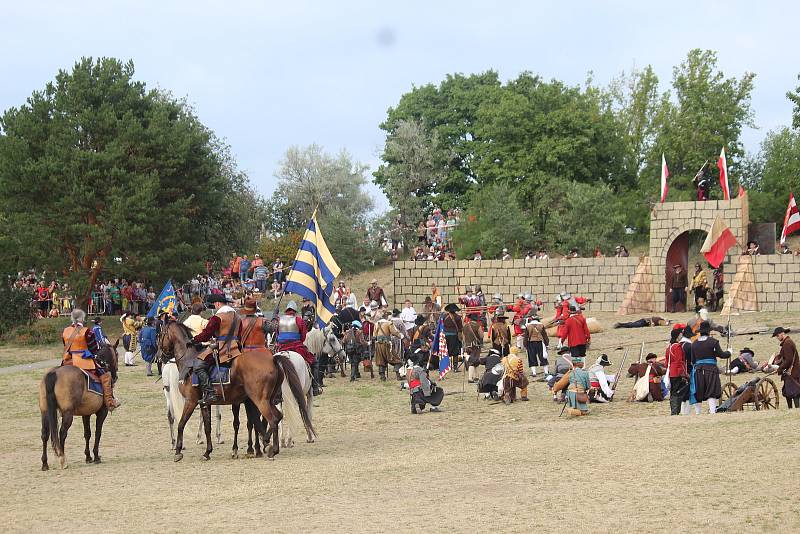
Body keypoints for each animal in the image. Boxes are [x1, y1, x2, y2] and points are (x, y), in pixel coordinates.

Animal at [39, 342, 119, 472]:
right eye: (116, 354)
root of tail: (54, 373)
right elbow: (98, 432)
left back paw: (45, 463)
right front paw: (96, 456)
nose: (115, 376)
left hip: (45, 412)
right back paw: (62, 460)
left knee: (45, 434)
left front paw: (88, 457)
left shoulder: (85, 413)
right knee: (62, 433)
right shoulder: (102, 412)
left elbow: (87, 433)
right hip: (68, 413)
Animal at [157, 320, 316, 462]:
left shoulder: (191, 401)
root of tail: (273, 359)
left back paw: (272, 450)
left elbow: (181, 424)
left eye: (160, 334)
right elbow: (208, 427)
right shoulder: (205, 403)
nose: (159, 356)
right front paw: (207, 452)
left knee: (272, 419)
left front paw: (178, 451)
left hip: (260, 401)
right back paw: (268, 443)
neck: (189, 360)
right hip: (269, 400)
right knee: (277, 417)